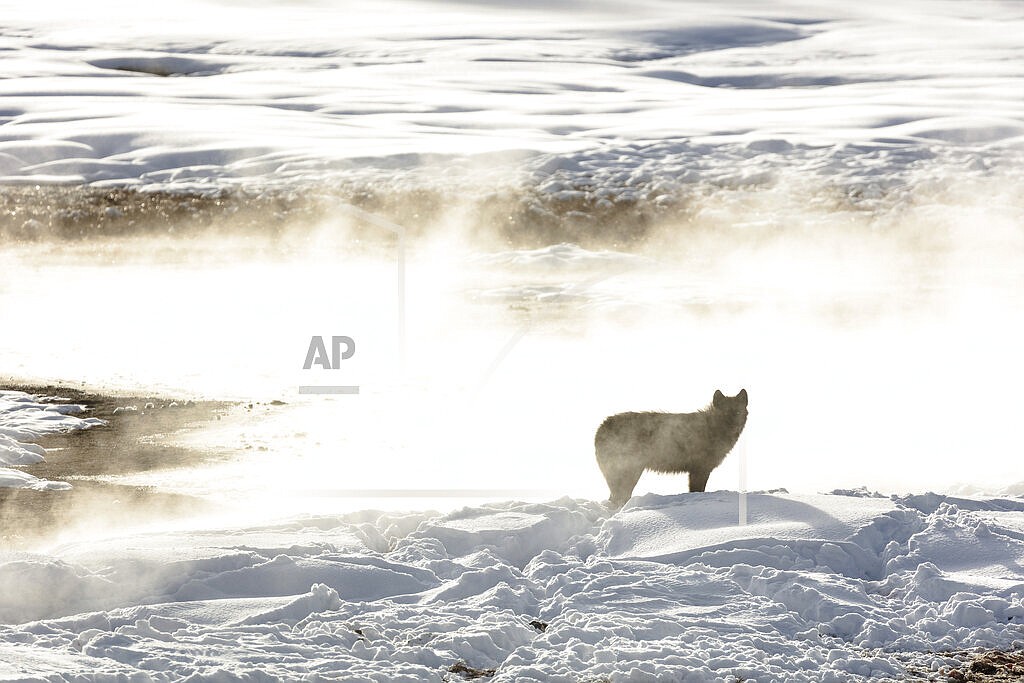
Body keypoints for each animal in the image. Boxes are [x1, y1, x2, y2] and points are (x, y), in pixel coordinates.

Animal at [598, 389, 749, 507]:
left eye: (737, 412)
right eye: (724, 414)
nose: (733, 427)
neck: (712, 429)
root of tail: (601, 426)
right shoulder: (699, 470)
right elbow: (697, 491)